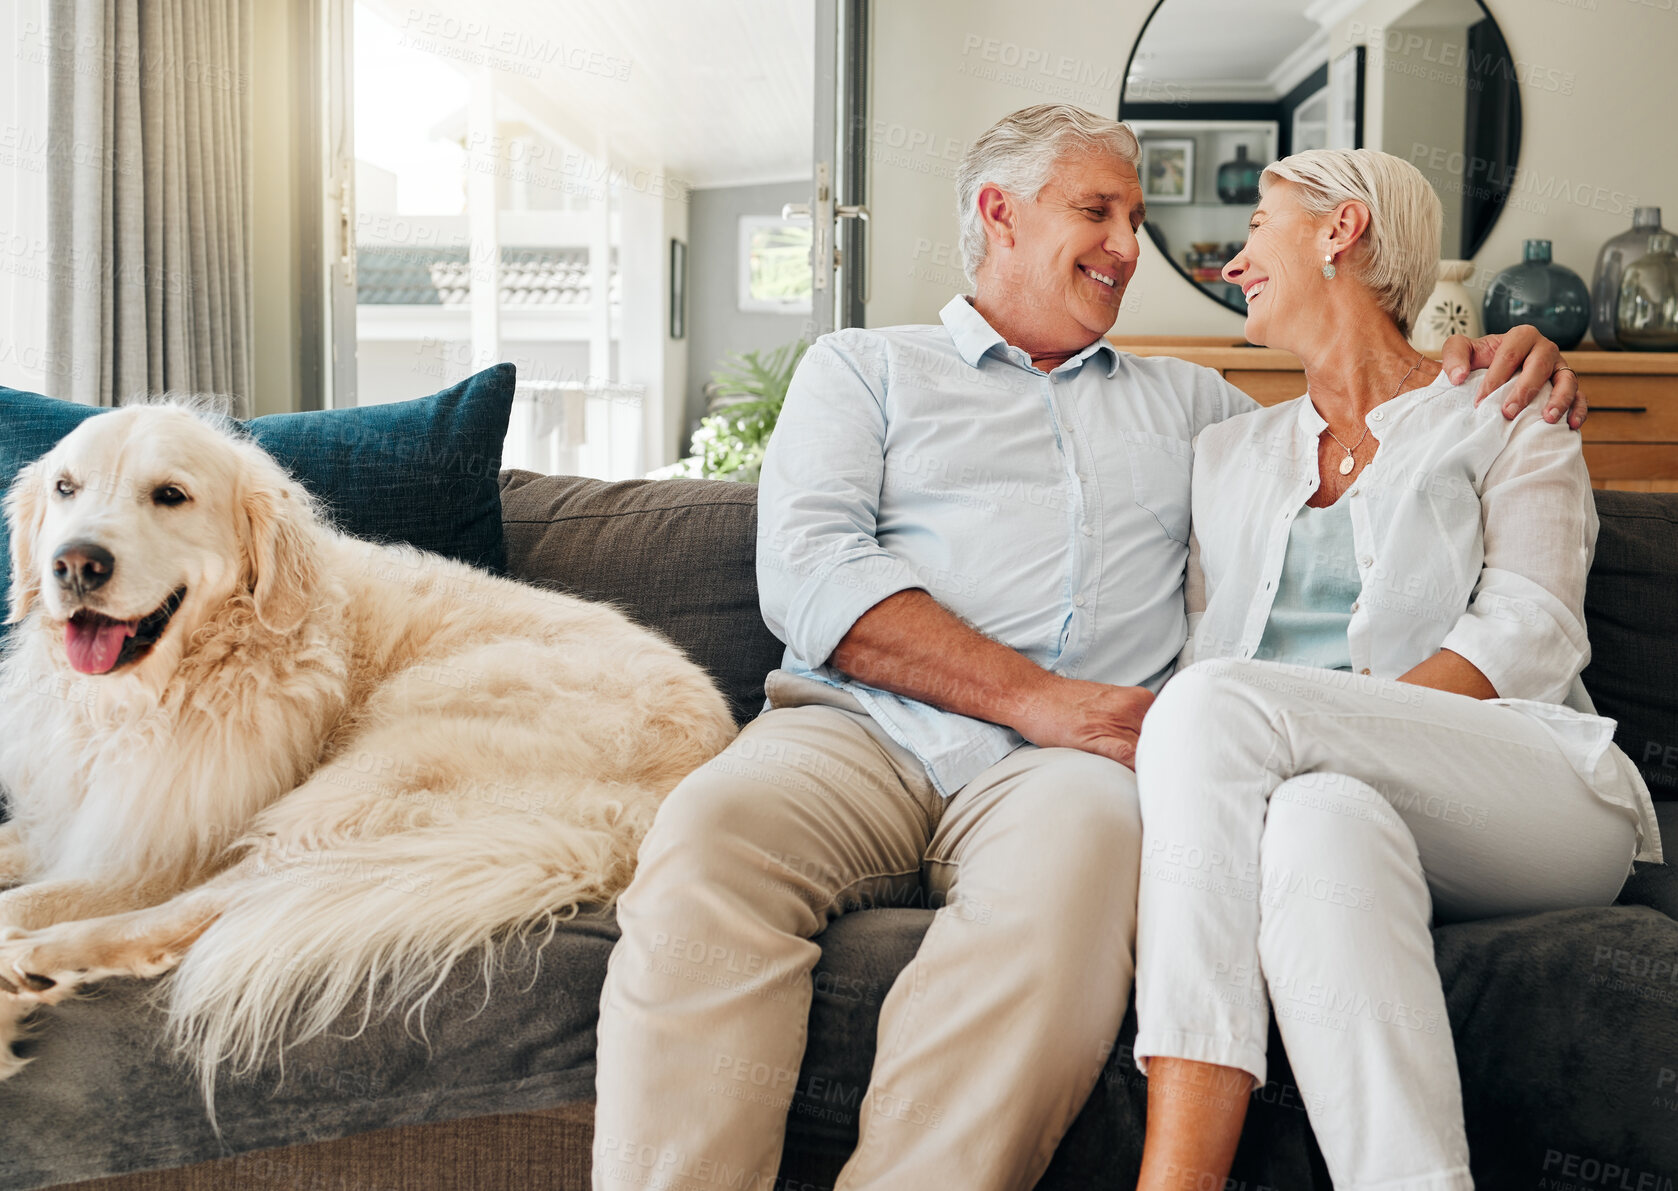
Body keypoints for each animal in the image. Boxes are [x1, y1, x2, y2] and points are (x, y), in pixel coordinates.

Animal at [0, 400, 734, 1107]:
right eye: (66, 488)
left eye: (170, 495)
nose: (76, 563)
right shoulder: (72, 820)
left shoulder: (165, 848)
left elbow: (43, 899)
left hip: (377, 763)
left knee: (226, 901)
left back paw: (44, 958)